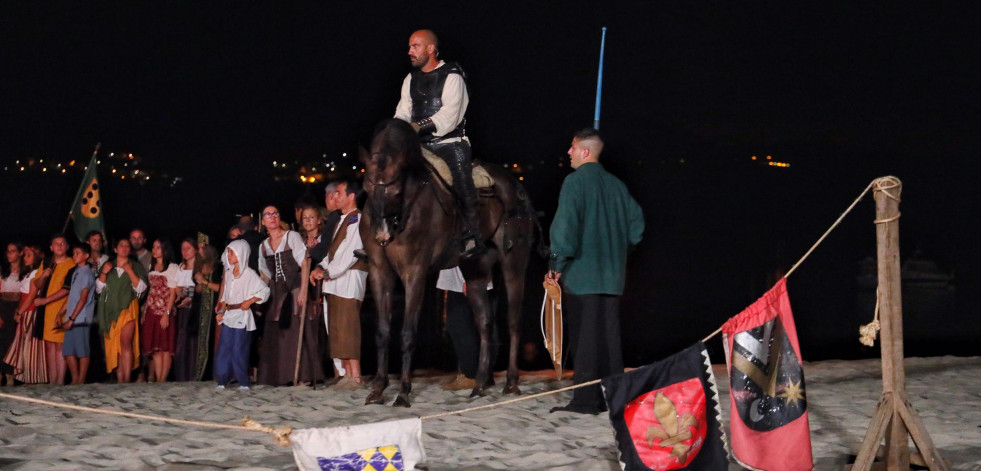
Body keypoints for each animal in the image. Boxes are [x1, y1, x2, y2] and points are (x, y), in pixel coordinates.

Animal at [358, 120, 532, 408]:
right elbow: (382, 331)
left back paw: (510, 382)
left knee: (514, 321)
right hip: (475, 270)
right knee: (485, 323)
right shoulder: (379, 271)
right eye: (368, 187)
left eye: (395, 190)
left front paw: (403, 392)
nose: (381, 235)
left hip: (513, 263)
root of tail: (516, 189)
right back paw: (480, 385)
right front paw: (378, 389)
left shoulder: (414, 273)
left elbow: (407, 332)